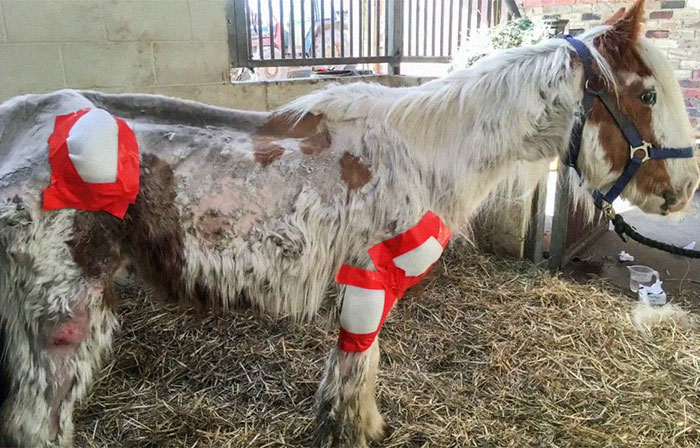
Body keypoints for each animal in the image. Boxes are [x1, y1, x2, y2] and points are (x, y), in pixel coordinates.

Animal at [0, 1, 698, 446]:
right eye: (647, 94)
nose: (683, 191)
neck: (422, 151)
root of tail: (24, 122)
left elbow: (351, 367)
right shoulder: (369, 278)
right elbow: (359, 368)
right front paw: (355, 431)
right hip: (63, 316)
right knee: (36, 423)